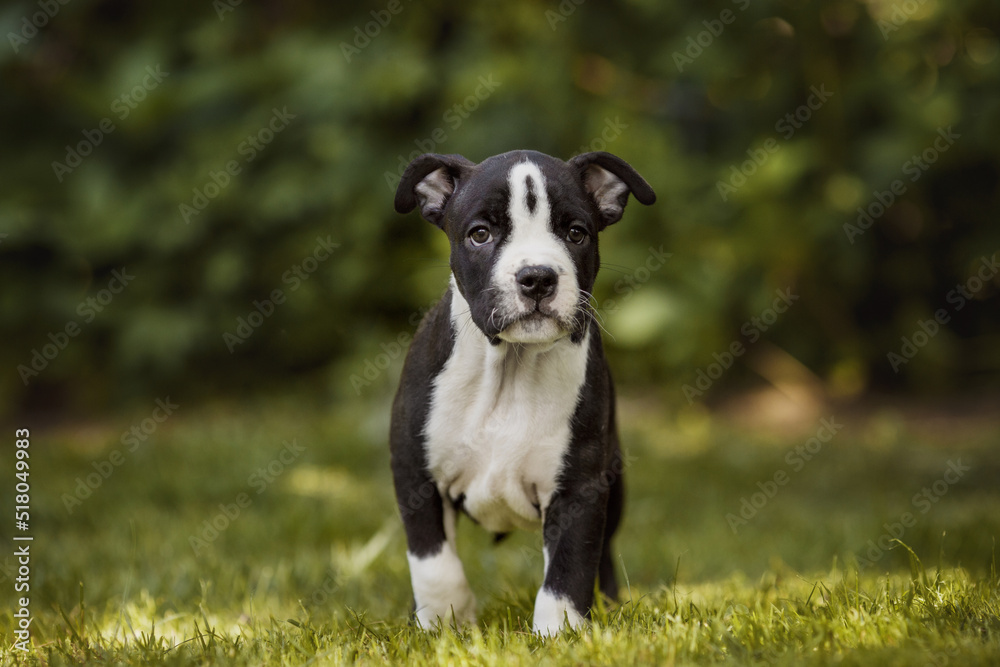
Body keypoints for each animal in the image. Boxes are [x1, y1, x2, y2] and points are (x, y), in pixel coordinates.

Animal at [390, 149, 656, 636]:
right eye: (480, 234)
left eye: (575, 233)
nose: (537, 277)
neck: (510, 369)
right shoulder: (415, 473)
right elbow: (434, 561)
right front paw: (443, 623)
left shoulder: (579, 487)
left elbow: (569, 568)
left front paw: (559, 633)